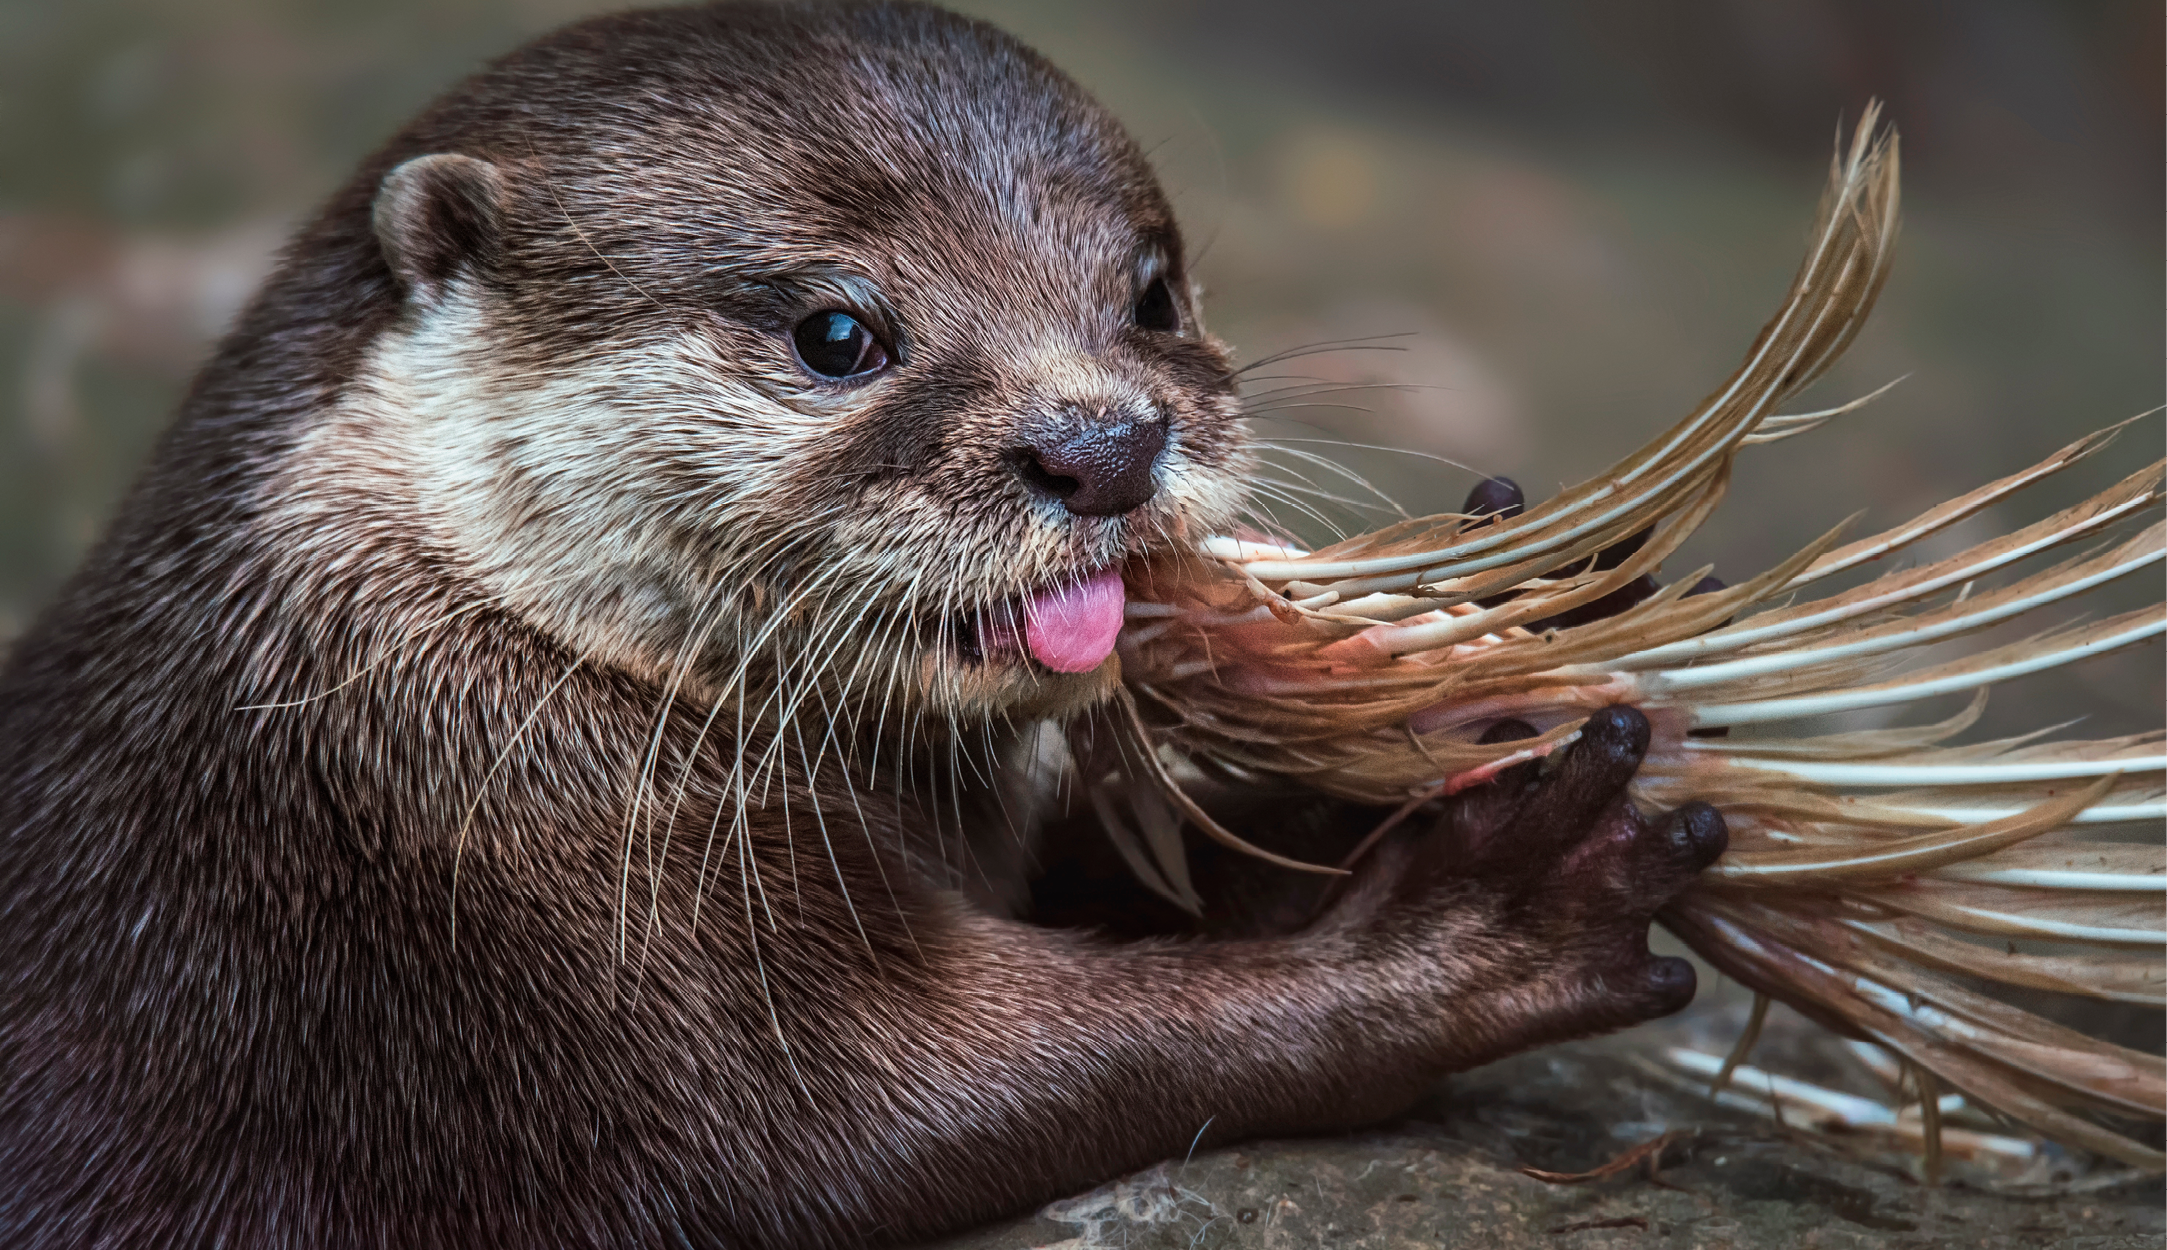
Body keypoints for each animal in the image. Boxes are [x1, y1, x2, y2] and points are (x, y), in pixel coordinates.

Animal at [0, 4, 1724, 1239]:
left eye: (1151, 290)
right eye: (837, 332)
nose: (1101, 443)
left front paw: (1428, 696)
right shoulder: (509, 903)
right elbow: (893, 1106)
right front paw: (1486, 913)